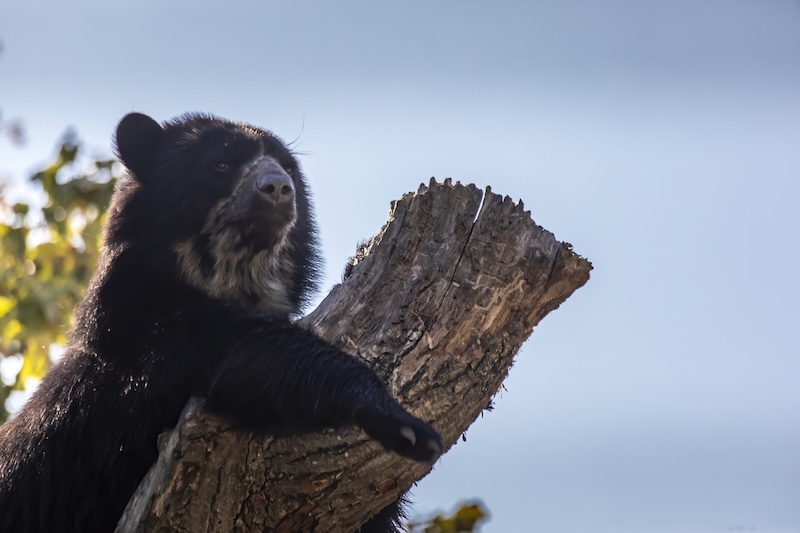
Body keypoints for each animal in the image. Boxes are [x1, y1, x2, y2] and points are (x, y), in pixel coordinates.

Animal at [0, 112, 442, 532]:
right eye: (222, 164)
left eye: (288, 167)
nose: (278, 188)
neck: (227, 280)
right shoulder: (148, 338)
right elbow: (251, 353)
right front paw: (408, 429)